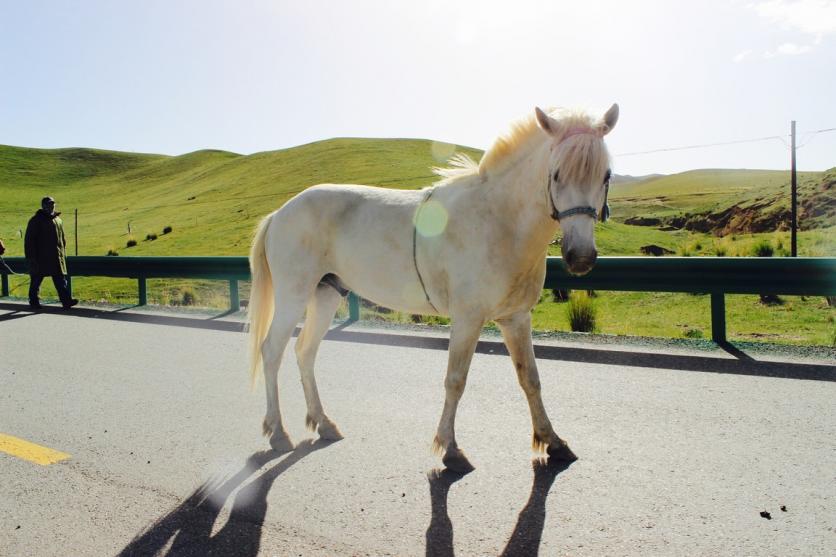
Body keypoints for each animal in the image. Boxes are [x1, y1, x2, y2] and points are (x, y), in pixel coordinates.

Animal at [245, 103, 616, 470]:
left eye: (606, 176)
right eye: (557, 174)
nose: (581, 257)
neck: (499, 220)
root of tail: (279, 213)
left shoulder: (516, 318)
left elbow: (531, 379)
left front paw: (552, 441)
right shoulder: (468, 318)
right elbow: (455, 379)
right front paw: (449, 447)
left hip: (325, 294)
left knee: (305, 352)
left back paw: (323, 423)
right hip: (293, 296)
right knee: (272, 351)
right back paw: (277, 432)